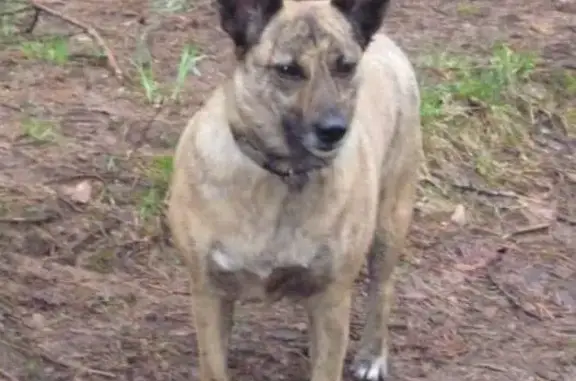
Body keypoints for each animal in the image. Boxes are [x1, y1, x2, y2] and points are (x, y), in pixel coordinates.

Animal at [166, 0, 424, 380]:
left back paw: (372, 355)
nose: (334, 130)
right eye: (287, 70)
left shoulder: (332, 300)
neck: (282, 175)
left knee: (383, 288)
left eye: (346, 67)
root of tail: (386, 43)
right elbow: (214, 366)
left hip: (390, 222)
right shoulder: (208, 293)